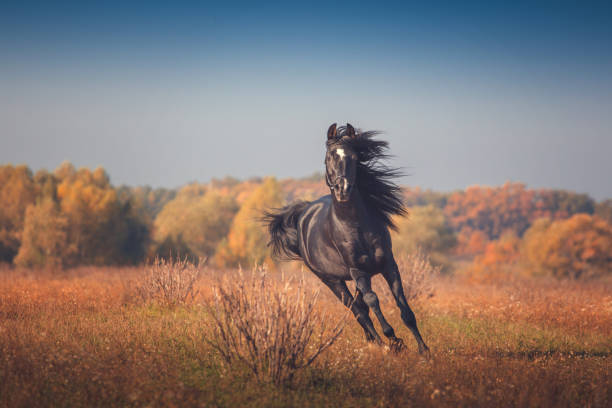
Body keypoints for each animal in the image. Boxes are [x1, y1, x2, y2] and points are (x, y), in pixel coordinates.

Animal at [264, 122, 430, 354]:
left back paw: (374, 341)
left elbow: (403, 306)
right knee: (357, 310)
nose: (343, 190)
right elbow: (372, 300)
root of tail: (304, 212)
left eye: (354, 156)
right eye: (328, 157)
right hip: (332, 281)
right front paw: (394, 339)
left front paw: (424, 350)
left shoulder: (388, 264)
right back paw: (381, 344)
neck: (355, 226)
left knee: (361, 307)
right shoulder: (358, 271)